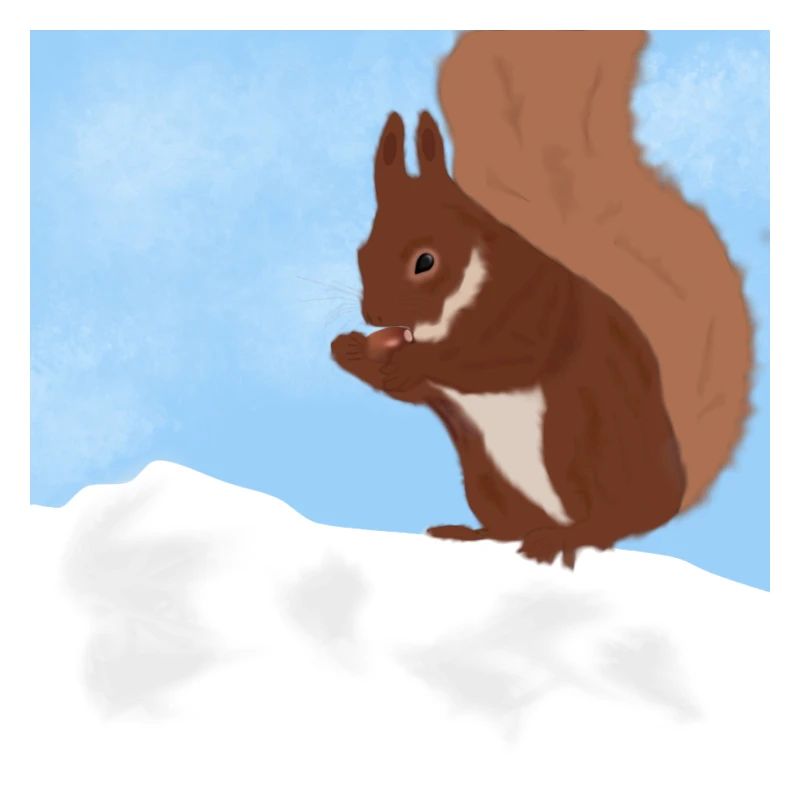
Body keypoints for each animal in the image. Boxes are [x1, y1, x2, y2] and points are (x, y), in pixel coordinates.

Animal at [331, 31, 752, 567]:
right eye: (362, 251)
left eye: (425, 261)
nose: (374, 315)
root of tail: (667, 500)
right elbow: (408, 388)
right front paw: (349, 349)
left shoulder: (533, 307)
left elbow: (493, 357)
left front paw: (412, 359)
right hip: (485, 478)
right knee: (510, 527)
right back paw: (471, 533)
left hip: (579, 444)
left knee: (607, 527)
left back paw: (566, 538)